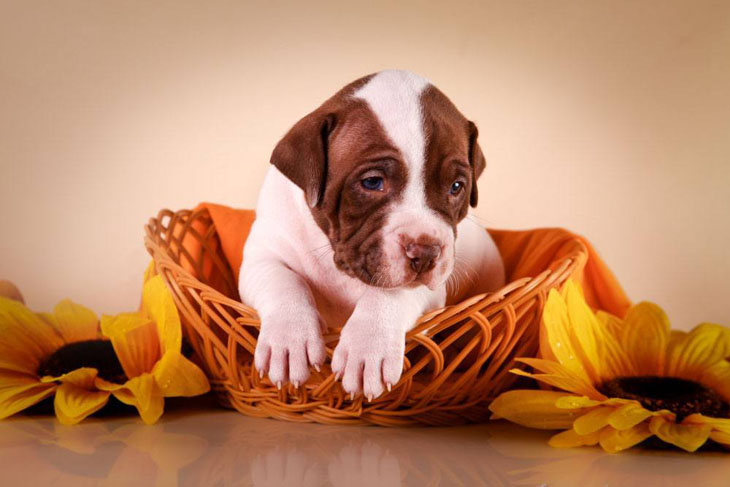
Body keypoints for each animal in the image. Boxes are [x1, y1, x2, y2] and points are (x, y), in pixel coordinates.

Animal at [239, 69, 500, 400]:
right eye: (372, 182)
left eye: (456, 187)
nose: (426, 252)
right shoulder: (262, 255)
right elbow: (285, 282)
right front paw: (290, 339)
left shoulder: (431, 291)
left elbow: (389, 294)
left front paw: (368, 347)